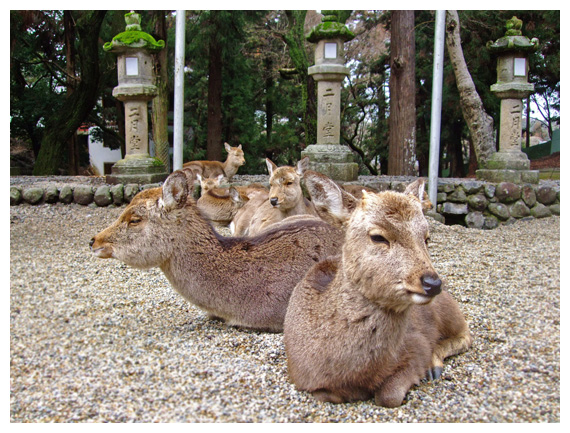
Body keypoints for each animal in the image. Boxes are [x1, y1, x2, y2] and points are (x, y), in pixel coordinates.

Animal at [280, 177, 470, 406]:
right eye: (378, 237)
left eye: (426, 237)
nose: (432, 283)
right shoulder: (301, 377)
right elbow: (327, 395)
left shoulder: (419, 345)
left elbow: (389, 397)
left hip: (448, 310)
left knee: (466, 334)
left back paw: (435, 367)